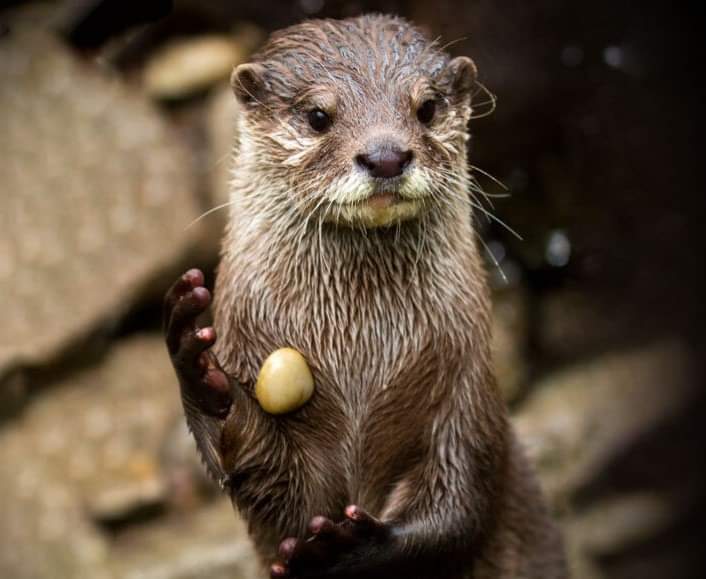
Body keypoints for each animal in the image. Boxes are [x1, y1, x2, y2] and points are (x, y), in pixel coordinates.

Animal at [164, 14, 567, 579]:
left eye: (427, 107)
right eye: (317, 115)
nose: (386, 155)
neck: (361, 358)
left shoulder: (465, 394)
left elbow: (458, 508)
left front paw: (351, 549)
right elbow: (273, 484)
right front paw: (198, 368)